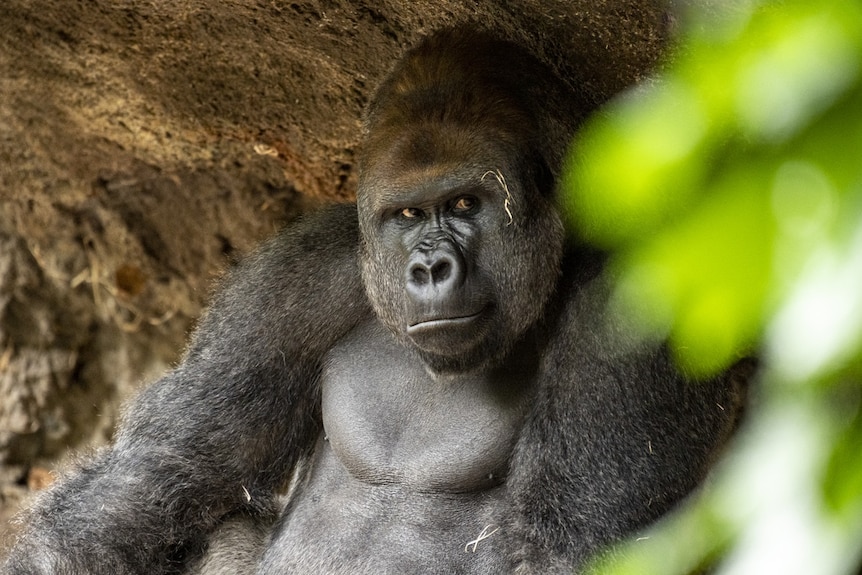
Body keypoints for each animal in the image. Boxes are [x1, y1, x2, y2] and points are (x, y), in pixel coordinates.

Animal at [1, 28, 748, 575]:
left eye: (466, 203)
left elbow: (558, 536)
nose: (429, 267)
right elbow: (161, 475)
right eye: (407, 214)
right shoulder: (293, 278)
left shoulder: (630, 300)